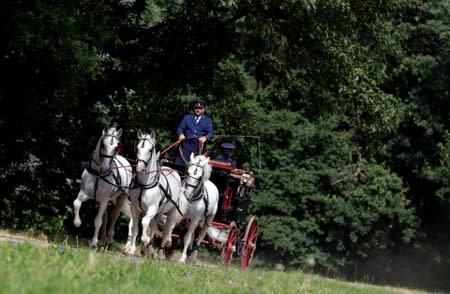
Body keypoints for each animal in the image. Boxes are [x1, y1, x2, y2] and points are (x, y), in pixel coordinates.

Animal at [122, 130, 187, 258]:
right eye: (137, 147)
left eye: (150, 149)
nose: (139, 169)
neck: (144, 185)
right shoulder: (134, 208)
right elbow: (135, 227)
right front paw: (132, 249)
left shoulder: (151, 209)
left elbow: (144, 223)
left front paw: (145, 241)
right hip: (158, 213)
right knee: (154, 228)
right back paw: (150, 250)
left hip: (170, 213)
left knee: (166, 230)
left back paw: (161, 252)